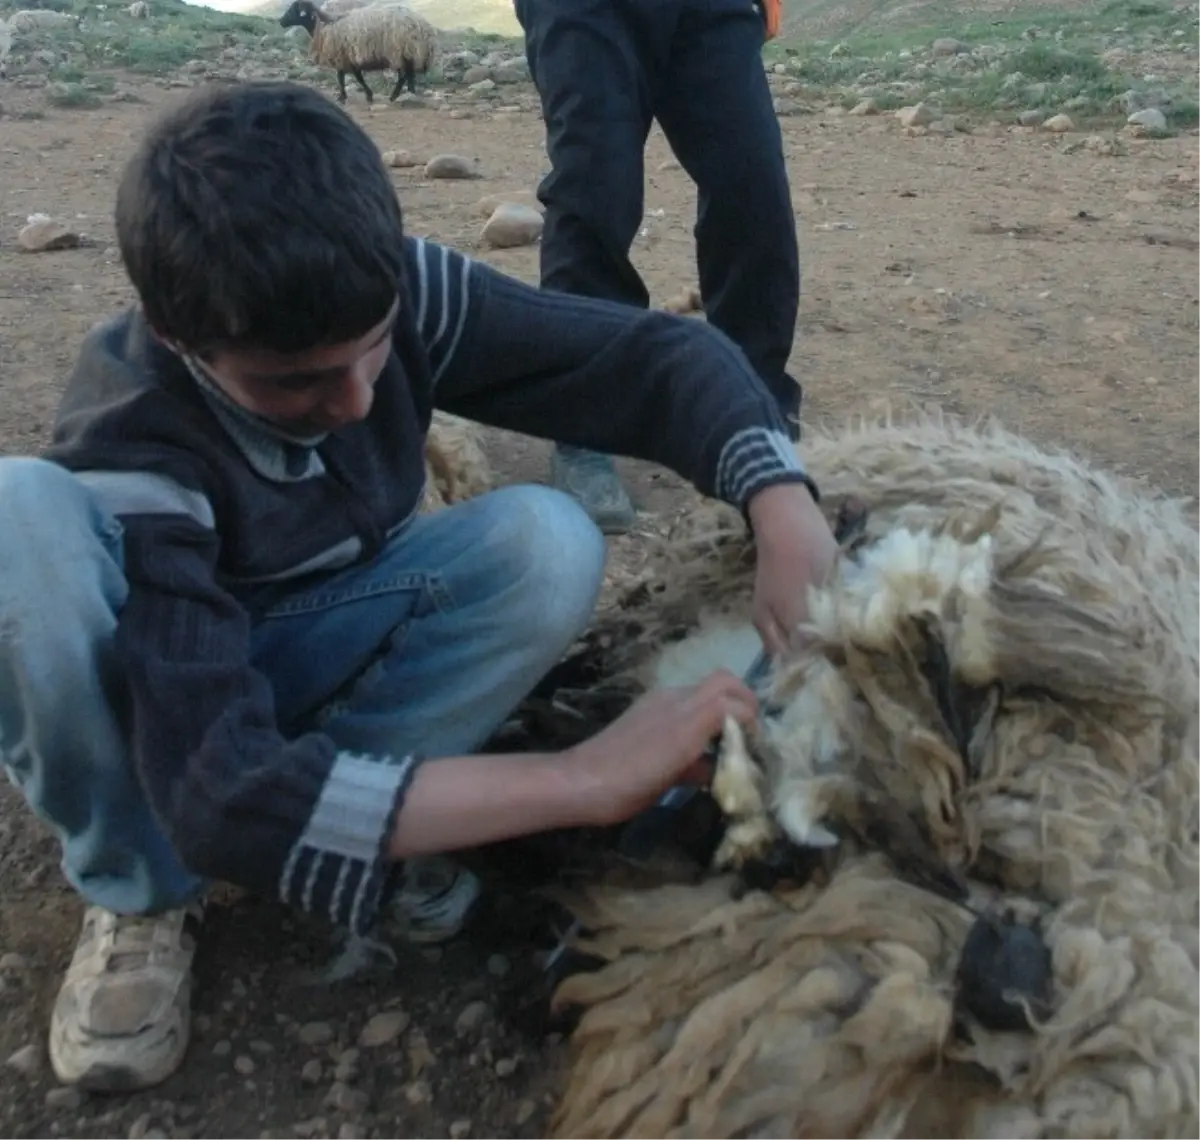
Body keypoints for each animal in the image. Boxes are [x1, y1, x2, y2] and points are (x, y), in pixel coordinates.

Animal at [277, 0, 441, 106]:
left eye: (292, 10)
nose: (280, 22)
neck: (325, 25)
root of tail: (423, 26)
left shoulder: (343, 57)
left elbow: (347, 78)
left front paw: (348, 97)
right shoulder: (348, 58)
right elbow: (352, 77)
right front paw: (359, 95)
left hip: (398, 52)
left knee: (402, 76)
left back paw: (394, 97)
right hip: (409, 53)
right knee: (410, 74)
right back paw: (410, 94)